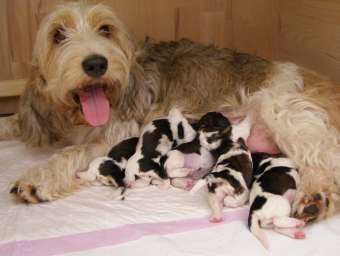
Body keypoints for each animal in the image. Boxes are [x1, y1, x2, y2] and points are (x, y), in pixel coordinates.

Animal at [0, 2, 340, 222]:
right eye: (57, 34)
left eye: (106, 29)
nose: (96, 63)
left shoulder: (113, 137)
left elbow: (72, 152)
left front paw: (38, 177)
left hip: (281, 111)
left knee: (324, 156)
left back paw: (315, 194)